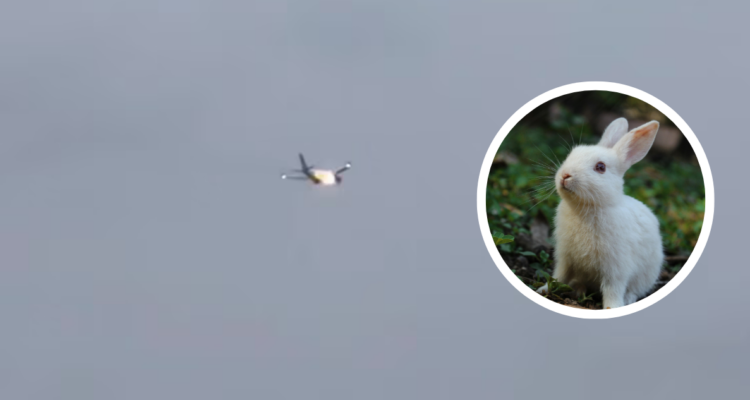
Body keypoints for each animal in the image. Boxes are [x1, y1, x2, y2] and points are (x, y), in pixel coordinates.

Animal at [536, 117, 664, 309]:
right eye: (571, 155)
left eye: (601, 167)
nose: (565, 175)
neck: (587, 207)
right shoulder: (565, 257)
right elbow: (559, 276)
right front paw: (543, 290)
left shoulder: (616, 268)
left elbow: (613, 290)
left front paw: (613, 308)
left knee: (634, 291)